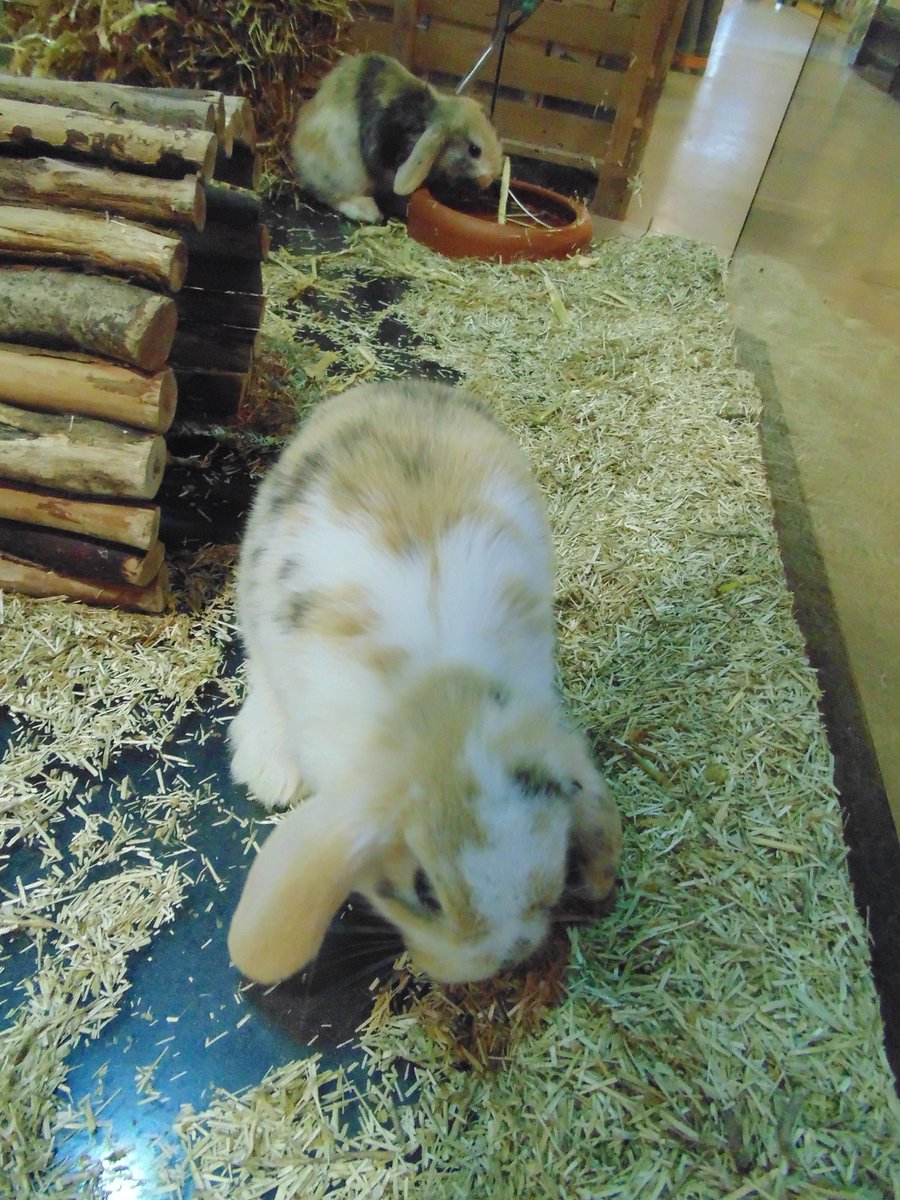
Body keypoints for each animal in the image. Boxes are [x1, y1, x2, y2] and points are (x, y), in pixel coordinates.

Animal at [290, 52, 504, 223]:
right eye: (474, 150)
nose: (488, 180)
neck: (425, 119)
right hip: (344, 174)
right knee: (335, 197)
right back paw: (369, 212)